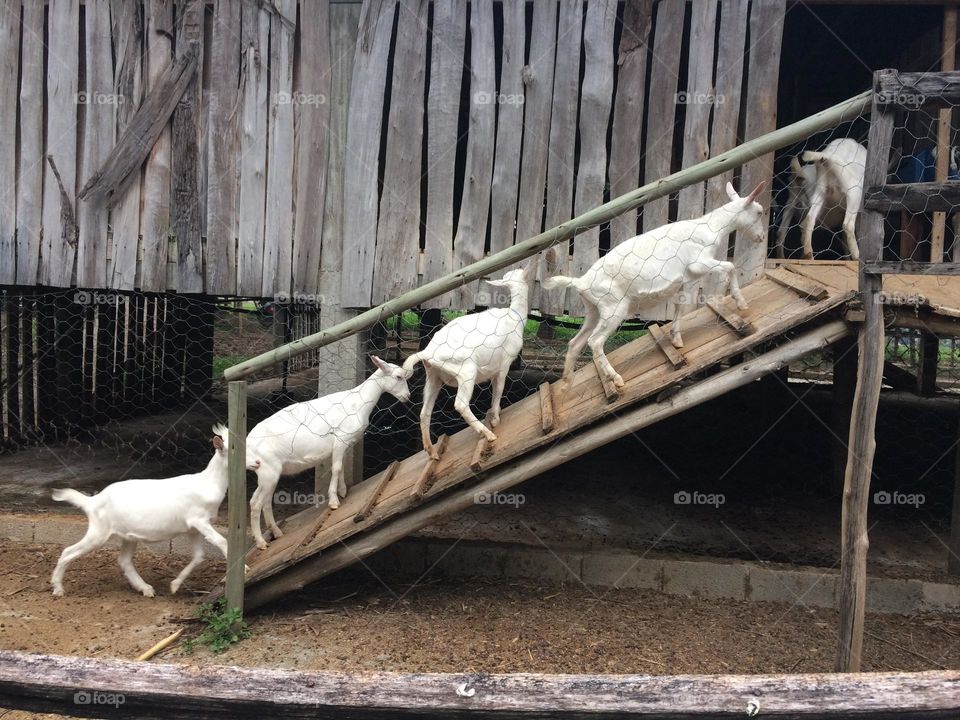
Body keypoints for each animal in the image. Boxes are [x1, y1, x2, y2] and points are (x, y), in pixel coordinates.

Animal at [50, 424, 235, 597]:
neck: (208, 484)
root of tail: (92, 501)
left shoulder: (193, 528)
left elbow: (199, 556)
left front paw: (174, 585)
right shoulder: (198, 520)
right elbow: (221, 541)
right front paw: (236, 574)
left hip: (128, 535)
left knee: (124, 560)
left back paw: (145, 588)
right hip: (99, 532)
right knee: (68, 551)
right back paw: (58, 588)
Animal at [246, 356, 410, 550]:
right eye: (398, 377)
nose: (407, 397)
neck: (358, 402)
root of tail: (247, 444)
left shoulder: (344, 444)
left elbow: (341, 466)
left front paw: (343, 491)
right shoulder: (340, 440)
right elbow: (337, 468)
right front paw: (333, 501)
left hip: (268, 472)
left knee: (262, 501)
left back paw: (277, 533)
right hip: (267, 470)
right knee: (256, 504)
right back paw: (261, 542)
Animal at [403, 260, 536, 459]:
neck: (514, 317)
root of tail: (428, 353)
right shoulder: (504, 364)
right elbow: (499, 390)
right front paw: (495, 419)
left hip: (433, 377)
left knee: (424, 412)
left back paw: (432, 452)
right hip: (466, 370)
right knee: (460, 404)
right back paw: (488, 434)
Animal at [542, 182, 767, 391]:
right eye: (759, 212)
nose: (762, 237)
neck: (710, 227)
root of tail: (582, 282)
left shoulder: (685, 279)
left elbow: (680, 307)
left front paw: (676, 339)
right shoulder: (698, 263)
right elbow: (730, 266)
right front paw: (741, 303)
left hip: (594, 310)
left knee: (575, 343)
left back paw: (566, 384)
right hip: (613, 307)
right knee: (595, 341)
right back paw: (616, 379)